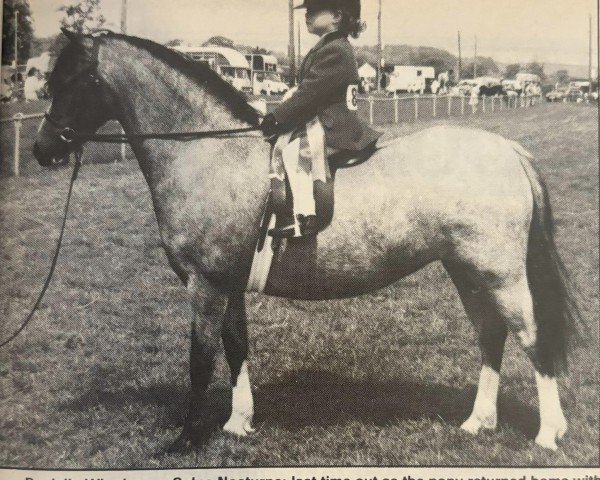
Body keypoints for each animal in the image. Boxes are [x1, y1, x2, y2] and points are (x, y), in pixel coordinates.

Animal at [32, 31, 580, 454]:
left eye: (73, 81)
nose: (42, 150)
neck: (208, 154)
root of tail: (508, 150)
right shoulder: (229, 285)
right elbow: (236, 347)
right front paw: (238, 423)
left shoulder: (204, 285)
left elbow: (199, 360)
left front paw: (185, 440)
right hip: (465, 269)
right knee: (491, 335)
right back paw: (477, 422)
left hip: (499, 273)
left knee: (531, 338)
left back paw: (549, 434)